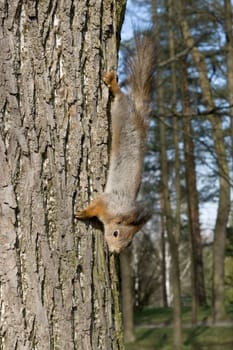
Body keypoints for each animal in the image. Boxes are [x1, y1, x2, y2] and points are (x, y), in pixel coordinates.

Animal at [76, 34, 157, 254]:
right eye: (115, 234)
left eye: (129, 243)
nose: (115, 252)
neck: (120, 212)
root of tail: (138, 117)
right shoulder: (107, 202)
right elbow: (95, 206)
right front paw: (84, 212)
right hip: (121, 110)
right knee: (120, 96)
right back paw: (113, 84)